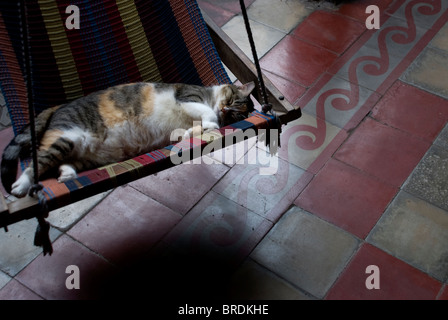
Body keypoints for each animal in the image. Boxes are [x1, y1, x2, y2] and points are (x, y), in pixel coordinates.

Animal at [1, 80, 256, 198]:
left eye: (236, 115)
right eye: (231, 101)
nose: (225, 110)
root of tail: (58, 107)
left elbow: (189, 131)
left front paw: (196, 131)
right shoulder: (186, 97)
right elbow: (206, 112)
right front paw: (211, 121)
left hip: (82, 151)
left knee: (62, 162)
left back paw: (66, 174)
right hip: (69, 137)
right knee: (37, 162)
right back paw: (20, 187)